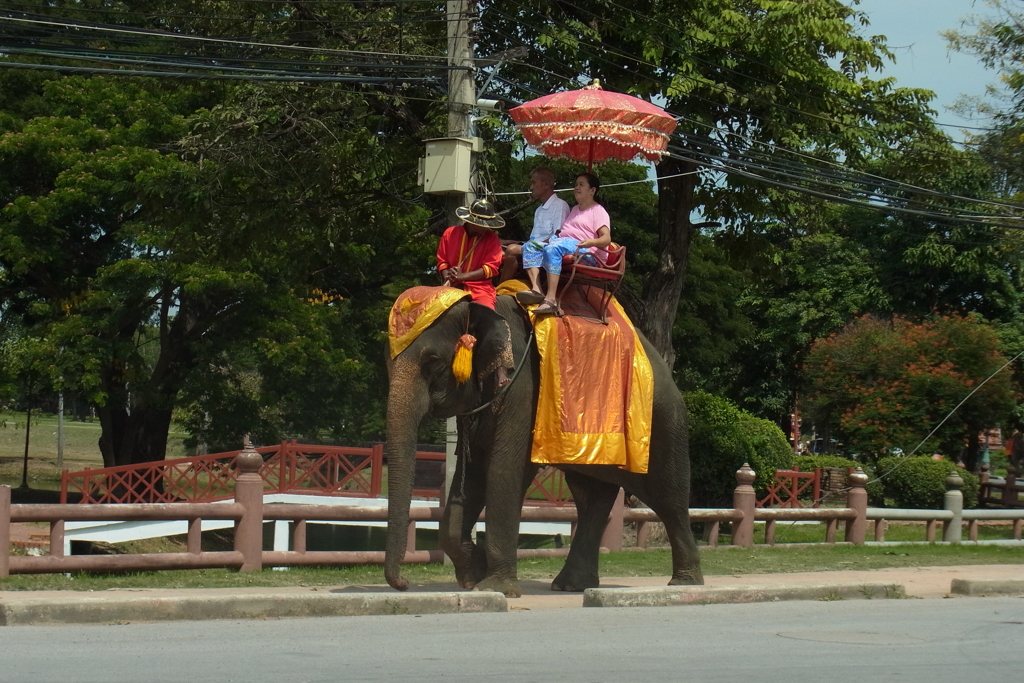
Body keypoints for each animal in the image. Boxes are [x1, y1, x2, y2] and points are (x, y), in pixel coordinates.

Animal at [385, 290, 704, 593]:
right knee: (591, 497)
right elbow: (473, 472)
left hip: (662, 422)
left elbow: (504, 470)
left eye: (432, 362)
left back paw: (684, 583)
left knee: (668, 496)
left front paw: (495, 588)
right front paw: (473, 577)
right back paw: (572, 585)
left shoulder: (522, 385)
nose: (405, 584)